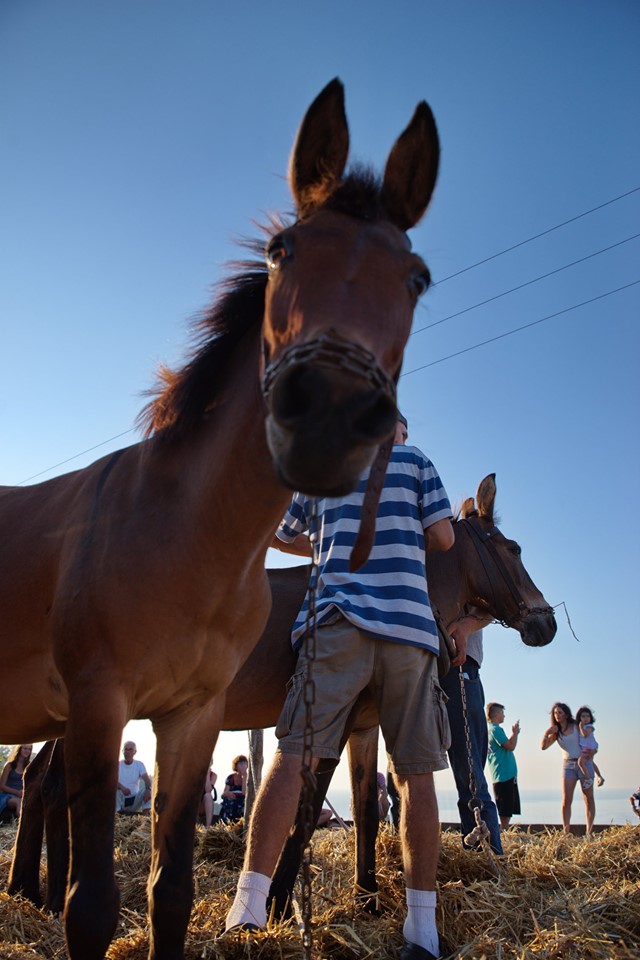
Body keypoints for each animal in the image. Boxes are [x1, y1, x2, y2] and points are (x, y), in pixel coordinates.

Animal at [0, 77, 440, 960]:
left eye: (417, 277)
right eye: (282, 250)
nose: (329, 414)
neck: (190, 539)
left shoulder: (192, 717)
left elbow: (168, 891)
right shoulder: (99, 704)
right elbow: (93, 904)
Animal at [7, 476, 556, 920]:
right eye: (513, 548)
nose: (546, 623)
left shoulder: (365, 723)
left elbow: (365, 806)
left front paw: (367, 899)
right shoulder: (332, 716)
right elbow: (307, 808)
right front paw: (275, 904)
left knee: (35, 782)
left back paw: (26, 891)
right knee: (55, 787)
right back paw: (55, 898)